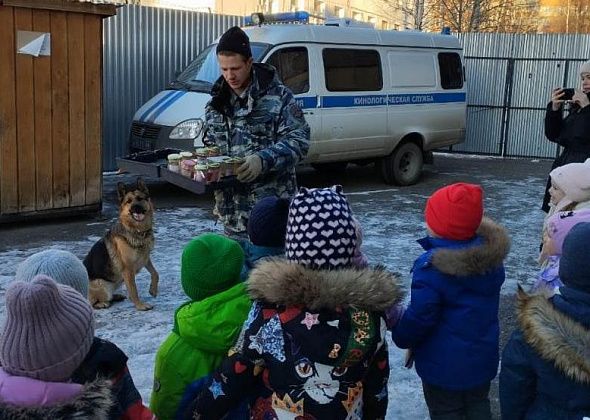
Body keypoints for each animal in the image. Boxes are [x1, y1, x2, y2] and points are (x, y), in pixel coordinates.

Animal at [83, 178, 161, 312]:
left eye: (140, 198)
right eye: (128, 201)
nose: (136, 207)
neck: (137, 232)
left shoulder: (145, 258)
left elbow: (155, 273)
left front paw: (153, 290)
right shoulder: (128, 269)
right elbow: (134, 290)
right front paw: (140, 305)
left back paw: (117, 296)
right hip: (102, 284)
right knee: (91, 302)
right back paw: (102, 303)